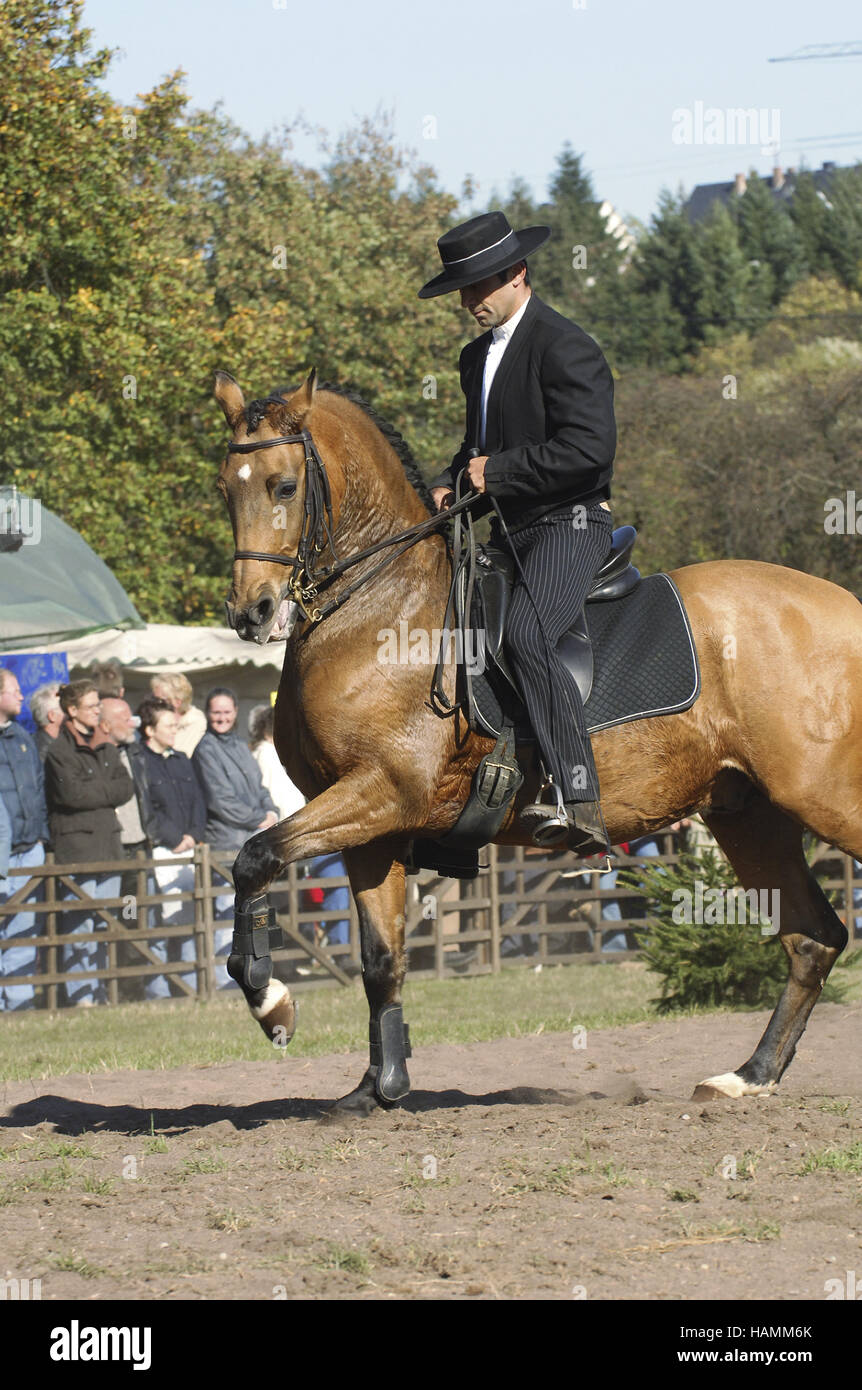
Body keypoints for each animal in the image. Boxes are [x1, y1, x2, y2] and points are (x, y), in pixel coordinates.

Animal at [209, 369, 862, 1117]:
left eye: (284, 485)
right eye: (226, 486)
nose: (252, 612)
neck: (378, 607)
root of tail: (846, 607)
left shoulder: (381, 793)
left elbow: (255, 858)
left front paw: (273, 1003)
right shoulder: (370, 827)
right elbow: (380, 959)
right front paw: (379, 1087)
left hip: (825, 798)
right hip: (751, 815)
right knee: (813, 938)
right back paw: (748, 1076)